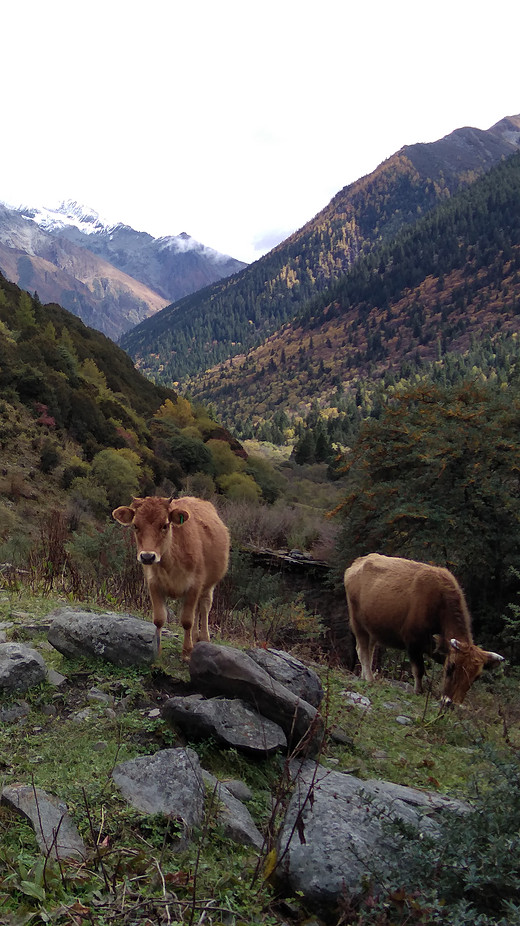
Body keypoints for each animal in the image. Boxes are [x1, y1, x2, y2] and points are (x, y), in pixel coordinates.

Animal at [112, 500, 229, 660]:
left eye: (165, 525)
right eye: (135, 525)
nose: (147, 557)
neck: (171, 562)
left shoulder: (195, 585)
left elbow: (187, 620)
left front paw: (187, 653)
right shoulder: (154, 583)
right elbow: (159, 619)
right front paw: (158, 650)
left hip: (209, 585)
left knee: (204, 606)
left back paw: (204, 638)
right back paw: (195, 637)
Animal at [346, 556, 504, 708]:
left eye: (476, 677)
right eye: (450, 667)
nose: (450, 703)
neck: (440, 605)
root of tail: (358, 562)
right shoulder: (412, 642)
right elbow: (419, 670)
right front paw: (418, 691)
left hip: (372, 628)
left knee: (368, 650)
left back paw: (364, 676)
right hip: (357, 623)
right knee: (363, 651)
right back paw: (370, 679)